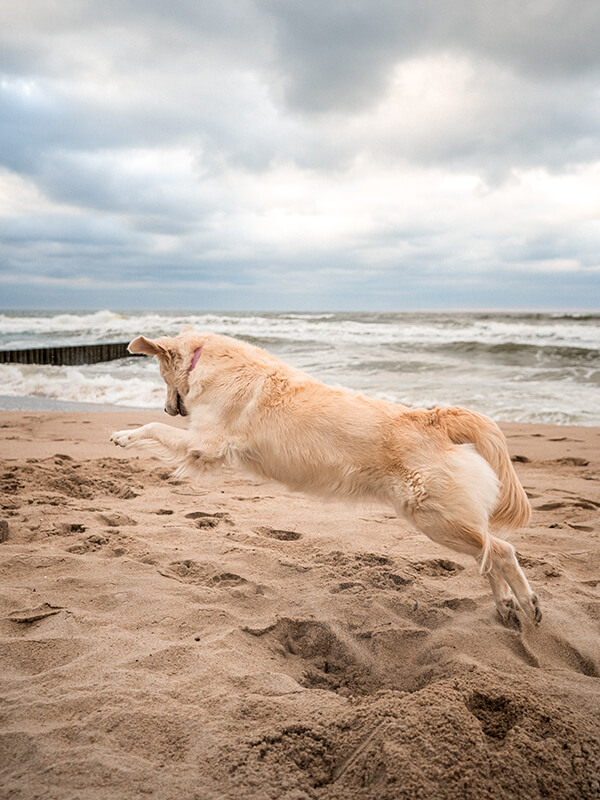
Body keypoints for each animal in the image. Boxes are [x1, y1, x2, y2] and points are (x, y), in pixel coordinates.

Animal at [110, 324, 540, 624]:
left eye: (160, 376)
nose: (169, 408)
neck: (210, 360)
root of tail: (432, 416)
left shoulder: (204, 443)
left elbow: (153, 430)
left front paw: (124, 435)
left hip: (435, 516)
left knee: (500, 550)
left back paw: (527, 601)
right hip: (442, 517)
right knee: (488, 552)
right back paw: (505, 603)